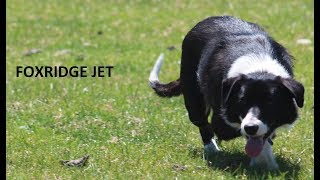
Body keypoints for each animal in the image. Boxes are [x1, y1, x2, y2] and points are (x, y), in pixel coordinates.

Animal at [149, 16, 304, 169]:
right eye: (242, 101)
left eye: (270, 103)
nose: (250, 127)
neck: (259, 68)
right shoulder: (223, 118)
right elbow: (225, 128)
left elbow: (263, 137)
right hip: (193, 94)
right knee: (202, 123)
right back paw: (212, 149)